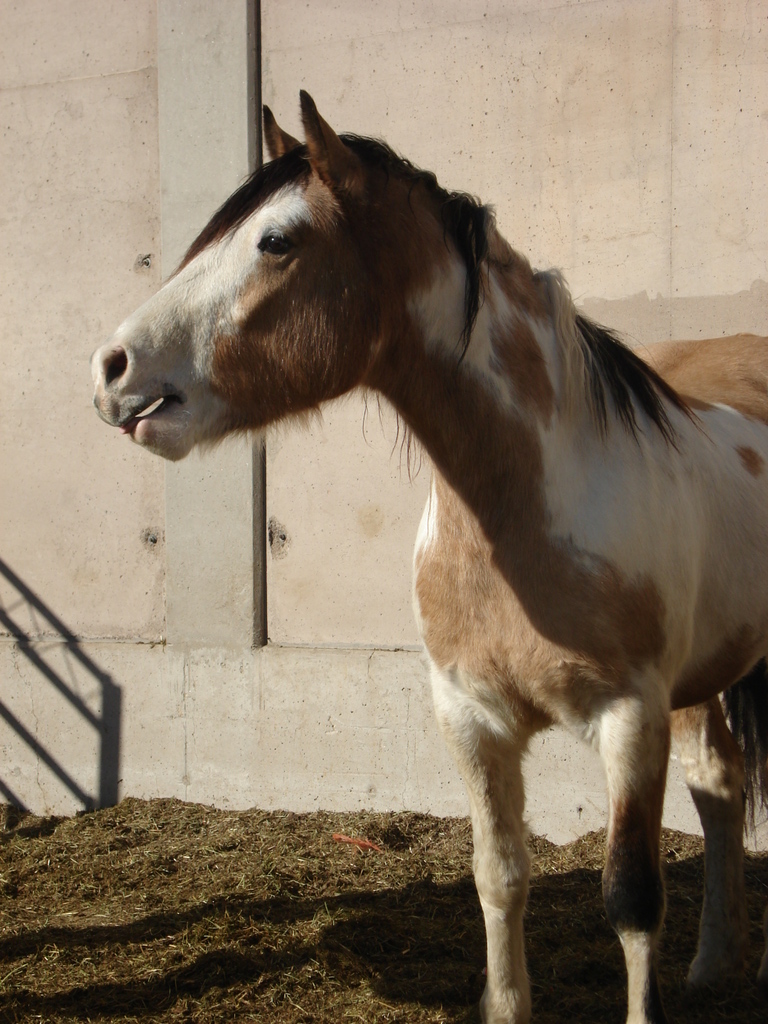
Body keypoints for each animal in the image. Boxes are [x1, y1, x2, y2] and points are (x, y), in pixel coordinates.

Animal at [94, 92, 768, 1019]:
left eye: (277, 240)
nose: (112, 368)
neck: (525, 514)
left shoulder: (631, 719)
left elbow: (630, 896)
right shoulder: (470, 719)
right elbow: (499, 878)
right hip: (702, 681)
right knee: (719, 787)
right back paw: (713, 965)